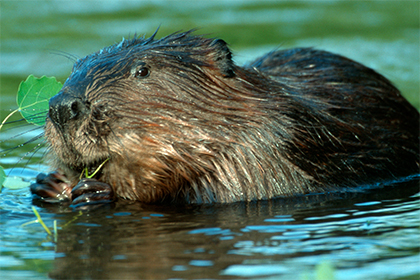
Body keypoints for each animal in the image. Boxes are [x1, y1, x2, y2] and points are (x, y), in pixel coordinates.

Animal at [28, 30, 416, 207]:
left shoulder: (267, 148)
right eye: (75, 68)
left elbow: (220, 194)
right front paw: (50, 184)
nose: (63, 106)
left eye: (142, 70)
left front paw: (97, 190)